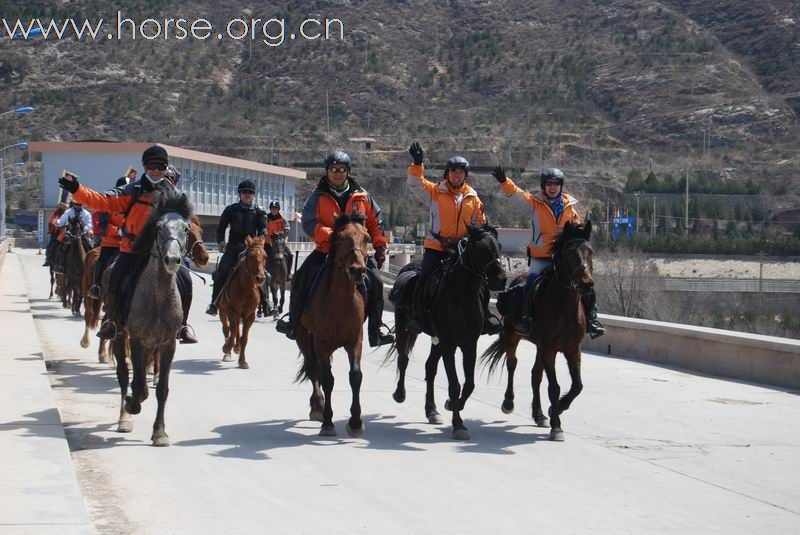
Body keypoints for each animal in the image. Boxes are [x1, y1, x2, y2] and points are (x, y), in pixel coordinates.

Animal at [111, 191, 192, 446]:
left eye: (186, 229)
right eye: (158, 228)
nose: (172, 259)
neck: (157, 297)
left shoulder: (167, 343)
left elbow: (161, 389)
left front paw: (160, 433)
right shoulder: (136, 338)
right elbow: (137, 384)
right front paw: (132, 404)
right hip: (120, 335)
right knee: (124, 375)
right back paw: (124, 418)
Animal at [217, 237, 268, 370]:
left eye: (265, 256)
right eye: (250, 256)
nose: (260, 278)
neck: (245, 288)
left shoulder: (250, 315)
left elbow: (244, 338)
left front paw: (242, 361)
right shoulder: (232, 311)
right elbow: (233, 330)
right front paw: (227, 348)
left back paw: (236, 347)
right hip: (223, 310)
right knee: (226, 329)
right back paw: (228, 351)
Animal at [296, 211, 372, 438]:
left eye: (367, 238)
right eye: (339, 238)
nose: (357, 270)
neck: (339, 300)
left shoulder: (355, 340)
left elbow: (355, 376)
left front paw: (355, 422)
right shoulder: (321, 342)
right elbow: (328, 379)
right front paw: (328, 422)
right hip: (304, 337)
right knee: (313, 368)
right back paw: (317, 406)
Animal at [388, 224, 506, 442]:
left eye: (499, 246)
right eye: (480, 248)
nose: (500, 280)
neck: (461, 295)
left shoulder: (469, 344)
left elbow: (469, 384)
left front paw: (453, 404)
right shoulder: (449, 343)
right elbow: (455, 384)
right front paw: (458, 424)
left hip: (437, 341)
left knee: (430, 368)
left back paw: (431, 411)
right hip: (405, 329)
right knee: (403, 358)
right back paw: (400, 394)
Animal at [482, 220, 592, 442]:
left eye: (590, 251)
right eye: (569, 252)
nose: (586, 283)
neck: (564, 307)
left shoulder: (572, 349)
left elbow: (577, 386)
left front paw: (558, 408)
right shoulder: (550, 349)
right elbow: (554, 387)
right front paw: (557, 425)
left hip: (540, 346)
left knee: (535, 375)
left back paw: (539, 414)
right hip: (513, 335)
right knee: (512, 364)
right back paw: (508, 403)